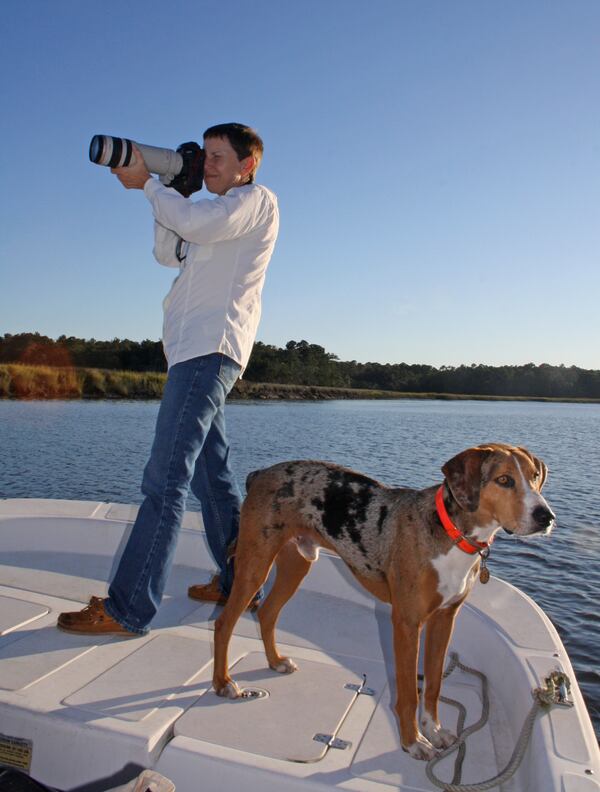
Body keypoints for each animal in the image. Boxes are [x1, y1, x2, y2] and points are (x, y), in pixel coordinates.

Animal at [211, 446, 552, 760]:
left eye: (535, 476)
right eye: (504, 480)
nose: (546, 517)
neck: (452, 534)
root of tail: (261, 473)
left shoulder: (444, 619)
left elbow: (433, 686)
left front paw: (433, 730)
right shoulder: (407, 624)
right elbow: (409, 693)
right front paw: (413, 741)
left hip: (295, 564)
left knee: (267, 612)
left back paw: (276, 661)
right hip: (254, 566)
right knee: (224, 622)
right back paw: (223, 683)